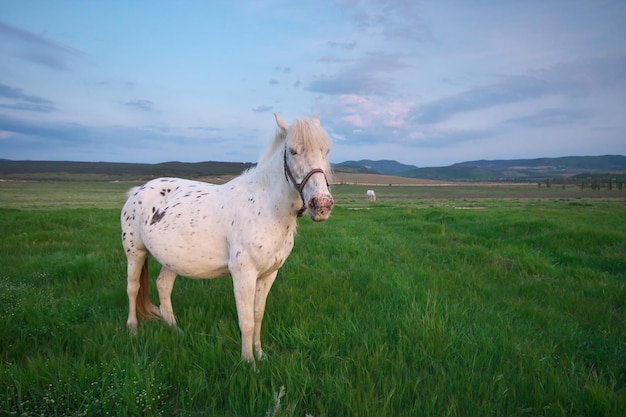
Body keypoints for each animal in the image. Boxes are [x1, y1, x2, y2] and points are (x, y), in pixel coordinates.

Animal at [118, 112, 332, 362]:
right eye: (294, 151)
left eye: (326, 151)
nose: (322, 204)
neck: (265, 206)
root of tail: (137, 191)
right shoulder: (243, 274)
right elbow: (246, 321)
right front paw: (248, 362)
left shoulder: (268, 274)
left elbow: (258, 315)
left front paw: (260, 354)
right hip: (135, 252)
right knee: (132, 288)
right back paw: (133, 329)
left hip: (172, 259)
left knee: (163, 286)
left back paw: (176, 330)